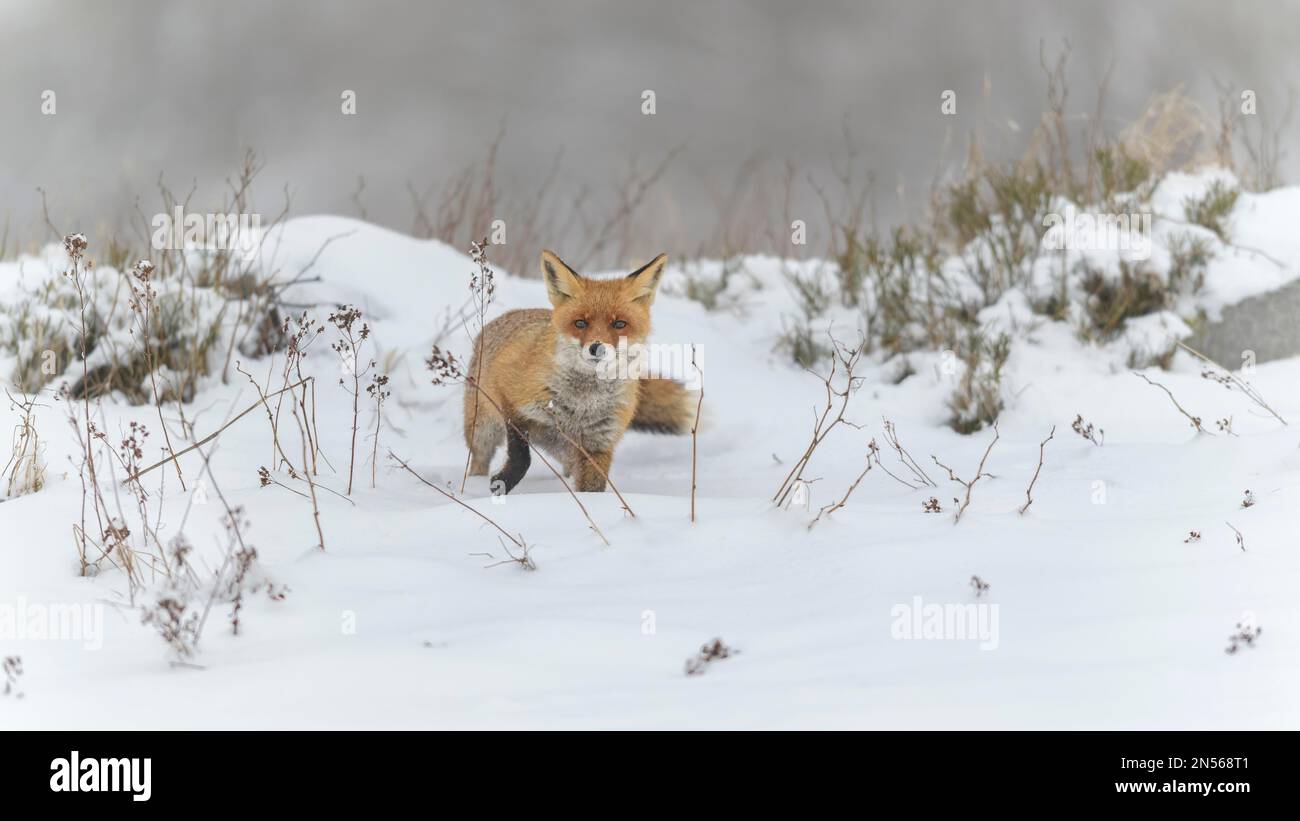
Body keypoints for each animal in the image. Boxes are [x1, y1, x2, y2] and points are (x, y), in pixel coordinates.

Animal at [462, 250, 696, 493]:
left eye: (619, 324)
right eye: (581, 323)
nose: (597, 348)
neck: (583, 402)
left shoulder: (599, 444)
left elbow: (592, 489)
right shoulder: (511, 403)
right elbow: (521, 457)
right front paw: (503, 483)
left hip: (565, 451)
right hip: (483, 431)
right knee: (479, 460)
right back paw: (474, 484)